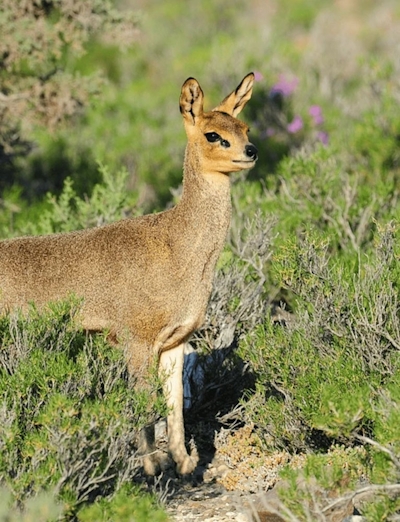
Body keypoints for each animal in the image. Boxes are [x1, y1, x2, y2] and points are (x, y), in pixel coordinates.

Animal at [0, 71, 256, 474]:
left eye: (244, 126)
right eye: (213, 134)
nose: (251, 151)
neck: (176, 247)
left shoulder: (175, 342)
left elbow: (174, 407)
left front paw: (185, 464)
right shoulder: (136, 338)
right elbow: (143, 405)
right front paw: (152, 466)